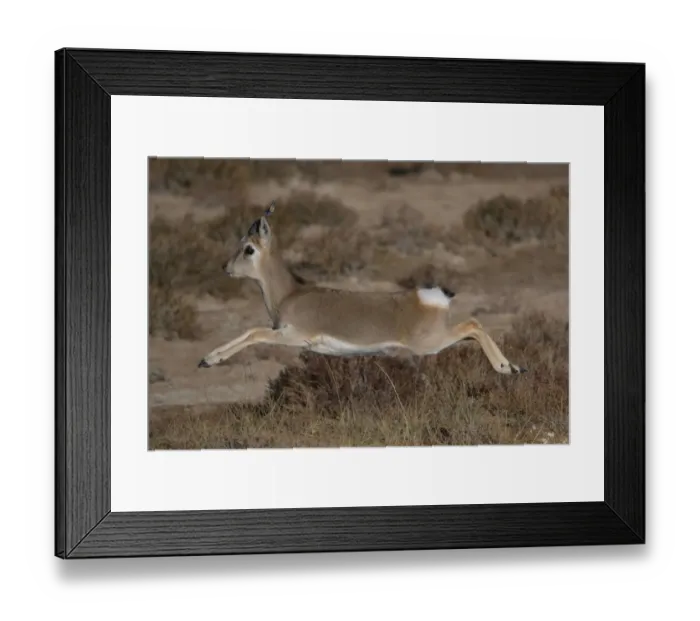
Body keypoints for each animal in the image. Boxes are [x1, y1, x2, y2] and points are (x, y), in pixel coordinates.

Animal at [198, 203, 526, 374]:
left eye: (249, 248)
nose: (225, 267)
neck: (290, 294)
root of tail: (432, 296)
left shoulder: (293, 336)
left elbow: (254, 333)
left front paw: (210, 359)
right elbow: (249, 331)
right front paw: (206, 359)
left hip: (430, 343)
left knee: (473, 325)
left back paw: (507, 368)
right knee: (472, 328)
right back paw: (512, 367)